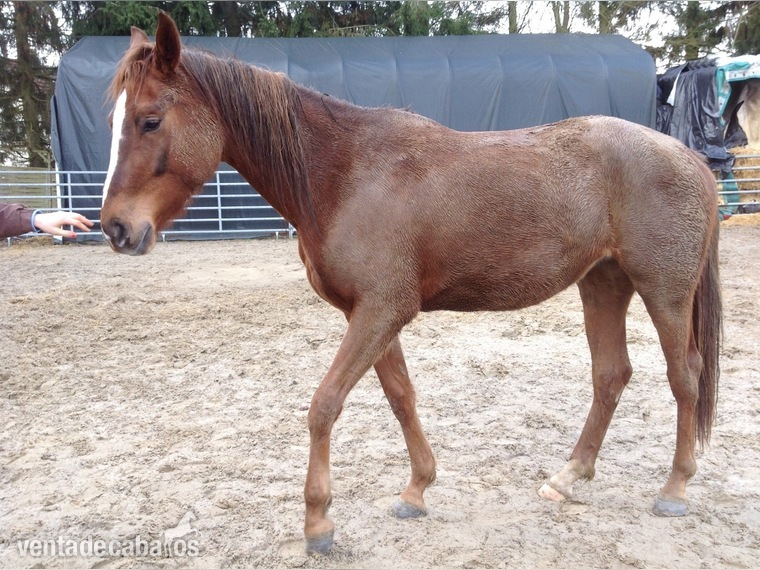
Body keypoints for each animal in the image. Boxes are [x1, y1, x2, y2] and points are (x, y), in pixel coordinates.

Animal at [100, 12, 722, 555]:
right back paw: (568, 476)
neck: (346, 174)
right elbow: (401, 397)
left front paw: (318, 523)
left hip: (664, 292)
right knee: (611, 375)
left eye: (150, 119)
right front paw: (416, 489)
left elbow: (324, 405)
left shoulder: (382, 310)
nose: (116, 228)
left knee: (684, 376)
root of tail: (687, 155)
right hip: (603, 283)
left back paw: (674, 488)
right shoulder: (370, 314)